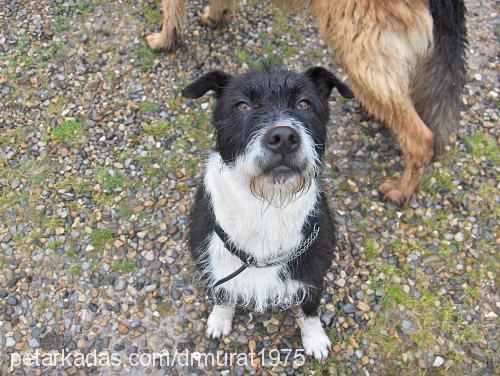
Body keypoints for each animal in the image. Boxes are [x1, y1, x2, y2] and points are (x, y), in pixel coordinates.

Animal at [183, 66, 352, 360]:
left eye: (304, 103)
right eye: (242, 105)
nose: (283, 137)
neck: (268, 207)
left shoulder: (312, 272)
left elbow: (309, 309)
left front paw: (315, 339)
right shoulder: (215, 262)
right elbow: (223, 294)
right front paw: (220, 319)